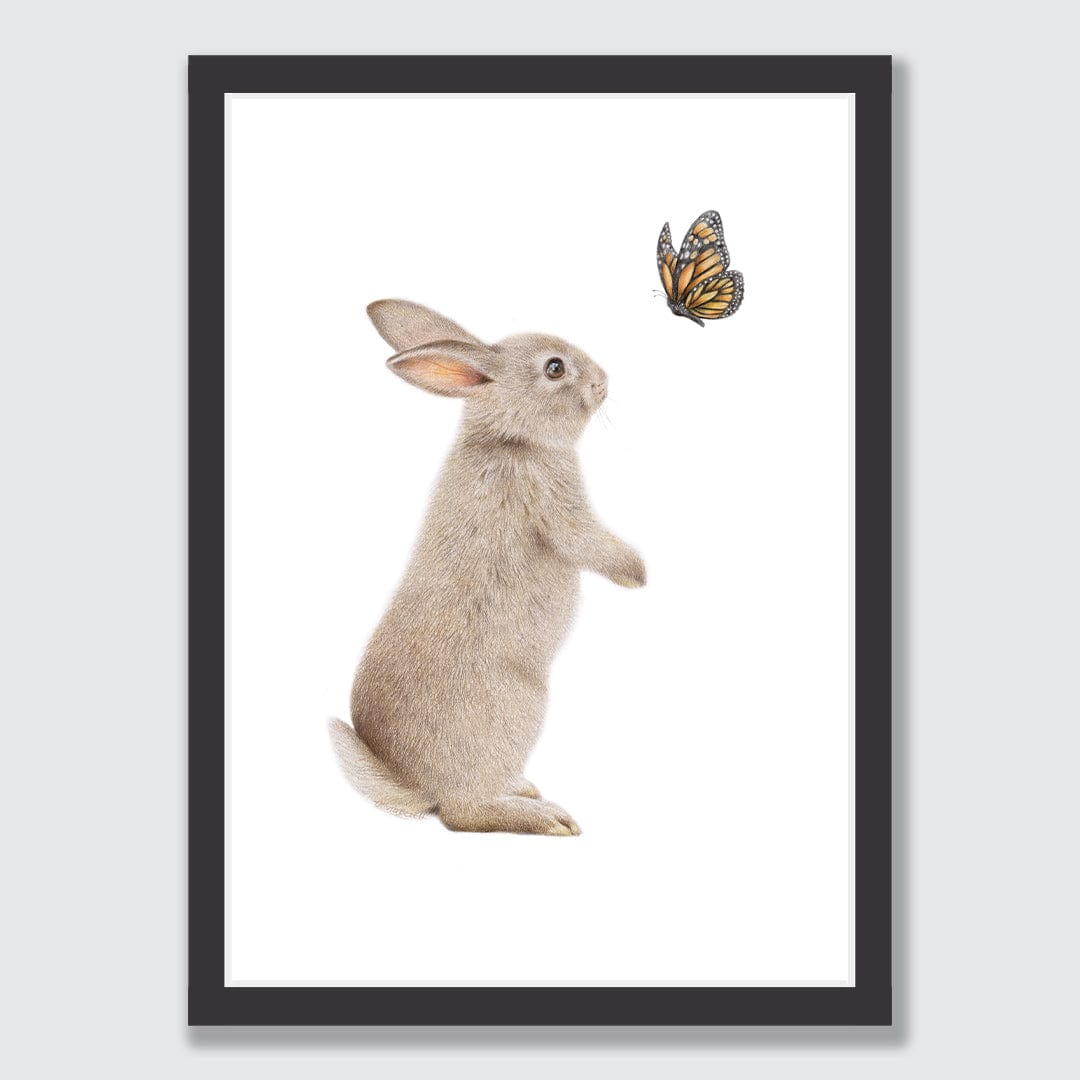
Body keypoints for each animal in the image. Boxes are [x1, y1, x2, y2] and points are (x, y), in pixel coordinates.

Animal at [329, 299, 645, 835]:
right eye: (555, 368)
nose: (604, 381)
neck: (511, 436)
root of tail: (419, 787)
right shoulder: (556, 506)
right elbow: (586, 541)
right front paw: (639, 574)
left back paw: (526, 789)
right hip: (519, 708)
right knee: (464, 814)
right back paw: (549, 818)